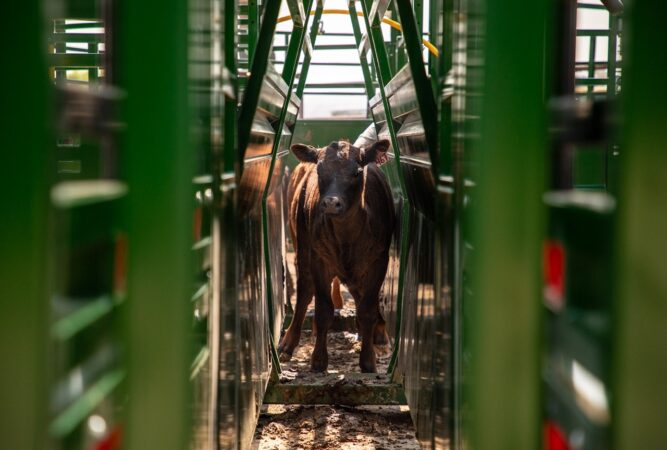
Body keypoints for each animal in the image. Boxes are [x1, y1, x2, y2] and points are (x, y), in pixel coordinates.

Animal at [278, 139, 394, 373]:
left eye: (357, 171)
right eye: (320, 171)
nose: (331, 202)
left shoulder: (378, 261)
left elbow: (367, 309)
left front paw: (368, 359)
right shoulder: (318, 259)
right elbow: (323, 309)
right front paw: (318, 360)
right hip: (302, 247)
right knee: (305, 292)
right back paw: (288, 344)